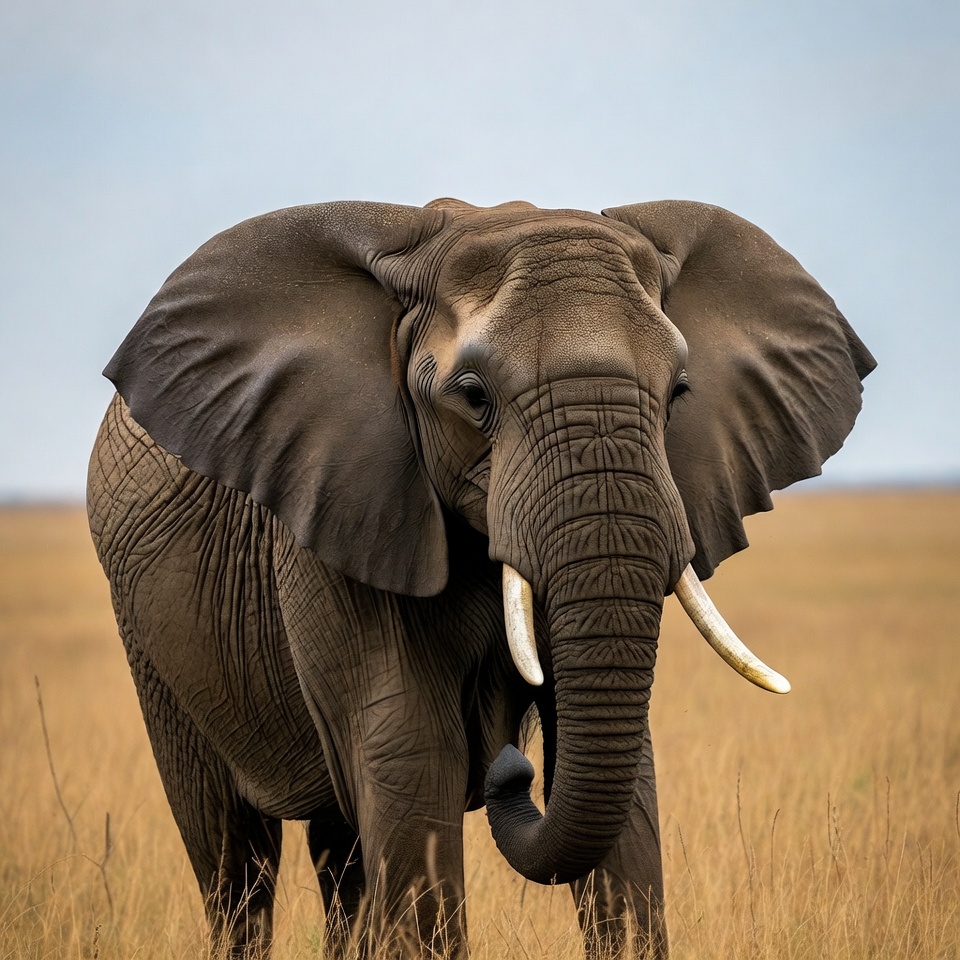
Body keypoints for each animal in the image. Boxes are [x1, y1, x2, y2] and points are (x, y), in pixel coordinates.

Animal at [87, 197, 874, 959]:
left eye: (679, 393)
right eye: (473, 396)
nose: (509, 770)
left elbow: (628, 796)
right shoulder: (341, 513)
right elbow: (412, 759)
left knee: (340, 854)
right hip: (148, 641)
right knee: (233, 861)